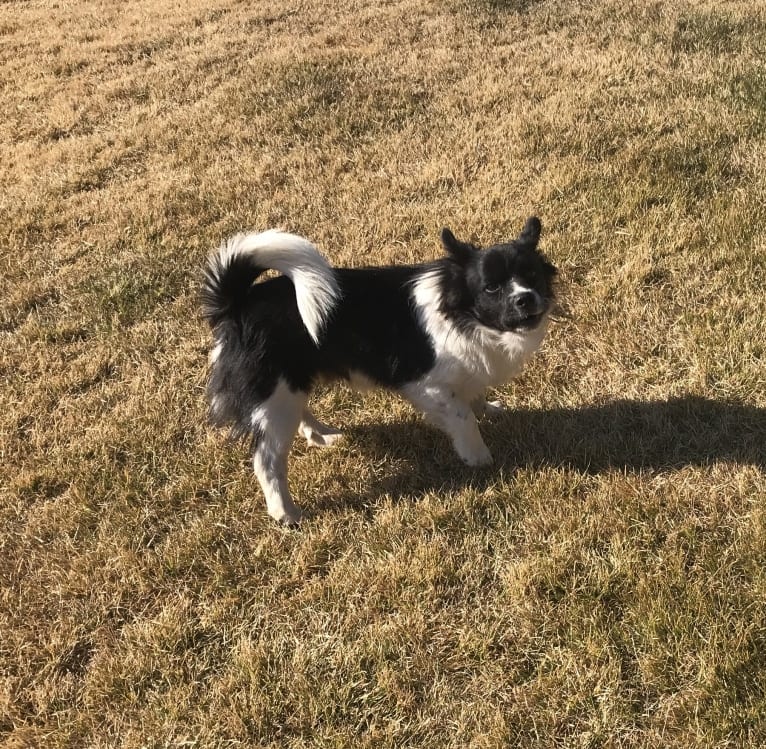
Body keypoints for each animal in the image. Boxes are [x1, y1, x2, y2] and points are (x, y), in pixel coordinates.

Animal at [202, 213, 560, 524]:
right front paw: (478, 456)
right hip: (274, 397)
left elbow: (475, 396)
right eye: (491, 288)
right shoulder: (427, 386)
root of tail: (237, 303)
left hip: (289, 387)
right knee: (267, 461)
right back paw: (286, 513)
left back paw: (320, 434)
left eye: (531, 276)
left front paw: (489, 409)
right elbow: (463, 418)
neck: (464, 316)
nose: (526, 299)